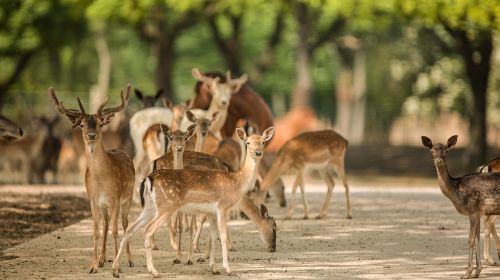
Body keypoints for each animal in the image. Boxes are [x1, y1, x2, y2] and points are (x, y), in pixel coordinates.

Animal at [49, 85, 136, 274]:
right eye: (81, 124)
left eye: (100, 124)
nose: (91, 135)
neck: (102, 182)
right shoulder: (93, 200)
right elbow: (96, 231)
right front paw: (93, 266)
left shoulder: (116, 198)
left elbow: (116, 231)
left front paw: (117, 268)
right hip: (105, 205)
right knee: (106, 223)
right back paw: (103, 259)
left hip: (129, 197)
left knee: (125, 223)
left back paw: (129, 260)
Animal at [113, 127, 276, 278]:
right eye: (247, 142)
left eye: (262, 142)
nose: (257, 152)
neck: (236, 182)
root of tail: (148, 179)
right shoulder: (222, 207)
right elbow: (222, 235)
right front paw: (228, 269)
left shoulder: (211, 212)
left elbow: (213, 235)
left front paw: (213, 268)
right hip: (167, 206)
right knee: (147, 230)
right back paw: (154, 271)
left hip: (150, 207)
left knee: (130, 229)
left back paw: (116, 270)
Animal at [422, 135, 500, 278]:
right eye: (431, 151)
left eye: (446, 151)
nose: (438, 161)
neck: (456, 190)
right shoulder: (478, 212)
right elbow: (477, 239)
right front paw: (477, 272)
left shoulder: (472, 211)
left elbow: (470, 240)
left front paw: (467, 273)